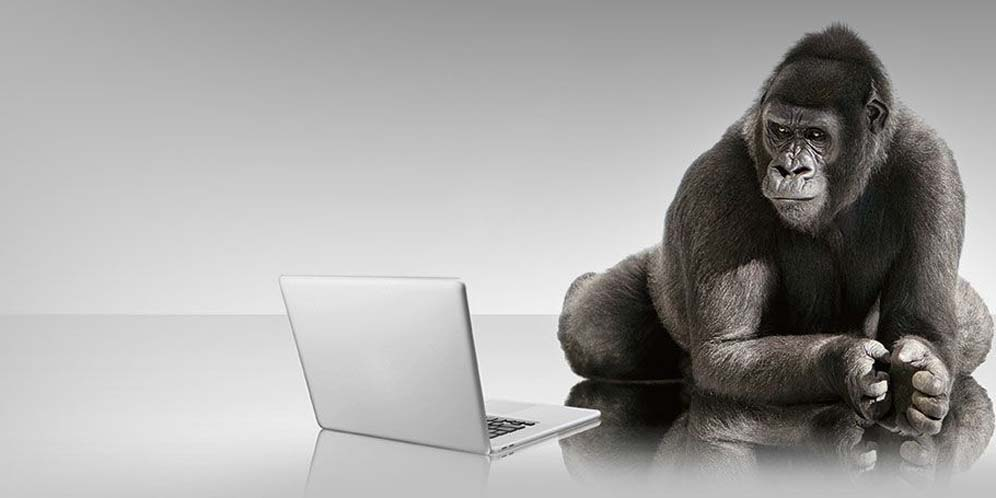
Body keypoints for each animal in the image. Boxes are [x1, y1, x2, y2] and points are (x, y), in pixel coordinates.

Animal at [557, 25, 993, 436]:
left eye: (816, 135)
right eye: (780, 131)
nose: (789, 168)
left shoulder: (932, 164)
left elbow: (922, 325)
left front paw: (920, 378)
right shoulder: (717, 181)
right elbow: (727, 351)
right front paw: (846, 363)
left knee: (974, 325)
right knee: (599, 332)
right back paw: (583, 293)